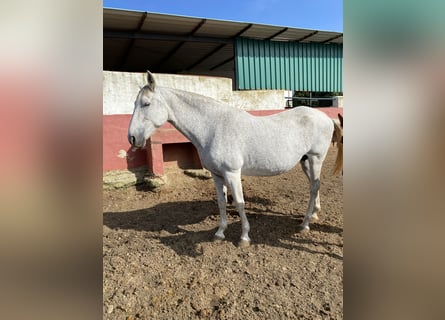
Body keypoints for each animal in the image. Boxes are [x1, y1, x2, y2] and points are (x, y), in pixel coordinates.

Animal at [126, 72, 342, 248]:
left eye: (146, 103)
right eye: (134, 104)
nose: (132, 138)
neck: (213, 127)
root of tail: (326, 117)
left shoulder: (232, 173)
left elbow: (239, 202)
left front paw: (244, 238)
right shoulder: (216, 174)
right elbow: (222, 202)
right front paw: (220, 233)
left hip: (315, 159)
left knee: (314, 187)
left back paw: (305, 224)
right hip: (305, 161)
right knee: (314, 185)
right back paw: (314, 214)